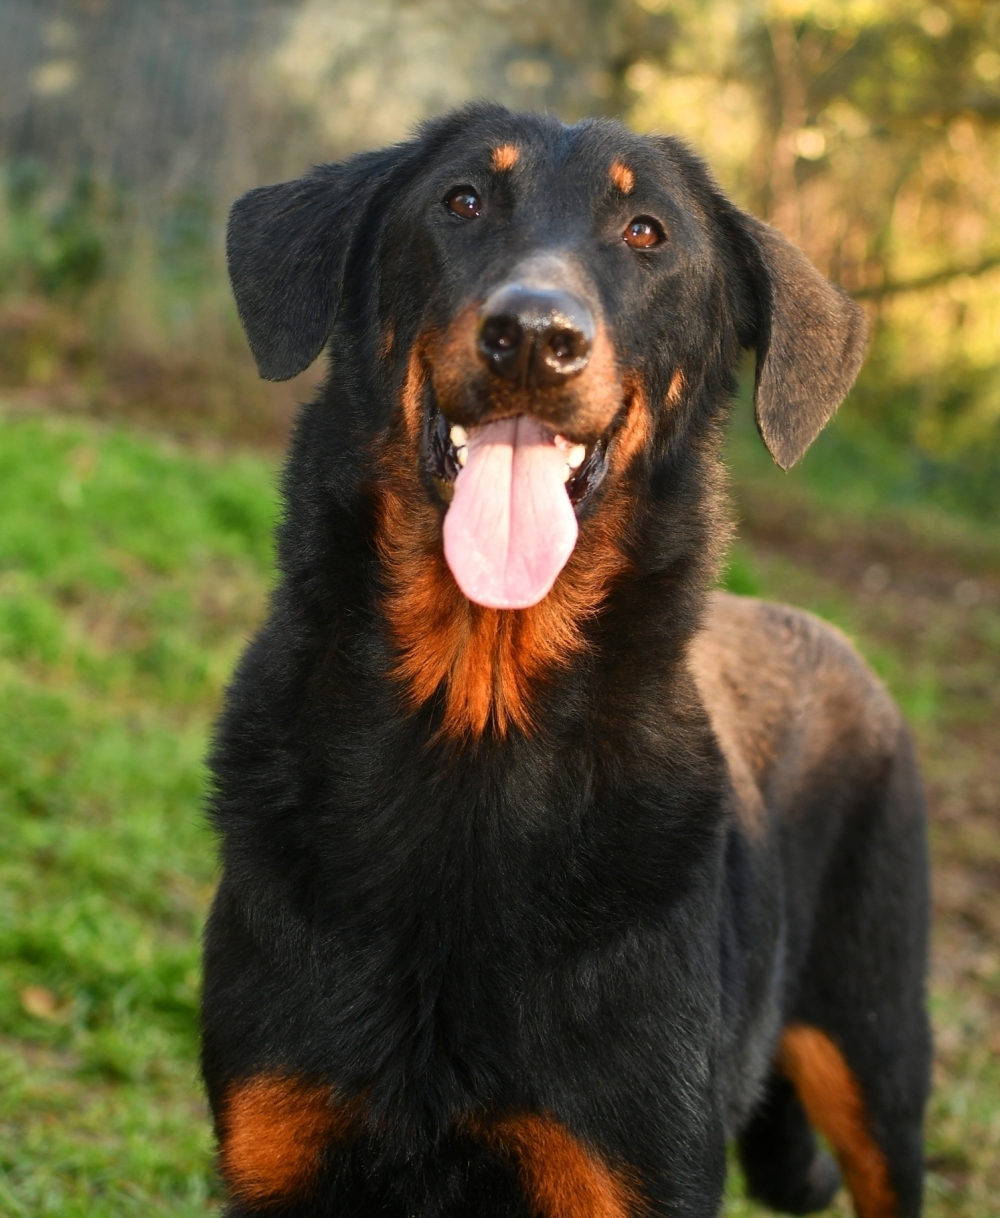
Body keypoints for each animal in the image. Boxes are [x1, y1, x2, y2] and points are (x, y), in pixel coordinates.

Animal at [200, 107, 930, 1218]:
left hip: (879, 1053)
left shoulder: (630, 1169)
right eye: (461, 201)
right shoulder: (284, 1147)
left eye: (646, 232)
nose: (535, 337)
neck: (475, 725)